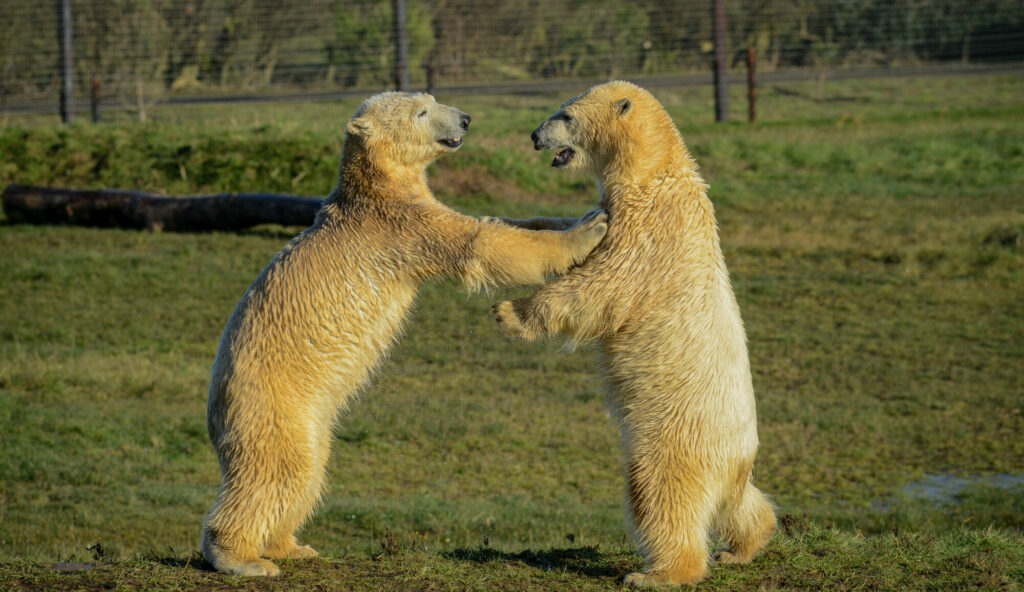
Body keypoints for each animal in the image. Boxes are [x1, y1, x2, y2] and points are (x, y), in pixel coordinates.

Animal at [201, 91, 608, 577]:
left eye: (432, 100)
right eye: (422, 112)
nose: (466, 119)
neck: (374, 187)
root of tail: (216, 410)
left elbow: (507, 221)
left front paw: (576, 213)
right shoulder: (405, 228)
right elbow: (483, 241)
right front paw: (590, 228)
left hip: (306, 418)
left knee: (308, 469)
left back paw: (290, 546)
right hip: (270, 401)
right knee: (276, 471)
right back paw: (242, 557)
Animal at [492, 81, 776, 586]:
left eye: (565, 115)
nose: (533, 136)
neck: (656, 169)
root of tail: (737, 459)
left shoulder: (648, 227)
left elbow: (602, 285)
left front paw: (511, 313)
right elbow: (570, 234)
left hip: (676, 436)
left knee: (660, 494)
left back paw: (657, 574)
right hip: (727, 464)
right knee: (739, 504)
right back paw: (742, 547)